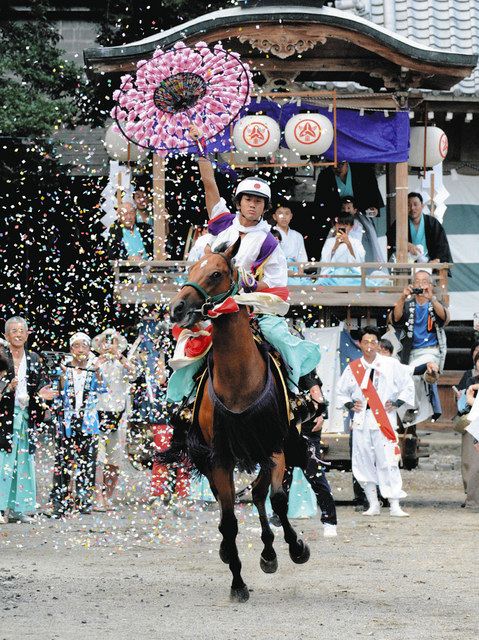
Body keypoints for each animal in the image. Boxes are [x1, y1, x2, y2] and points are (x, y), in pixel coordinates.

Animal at [170, 241, 312, 604]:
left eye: (216, 273)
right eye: (191, 268)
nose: (178, 308)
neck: (238, 381)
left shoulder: (273, 445)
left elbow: (278, 499)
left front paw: (296, 548)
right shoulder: (219, 457)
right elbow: (229, 520)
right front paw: (237, 583)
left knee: (261, 494)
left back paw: (271, 553)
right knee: (230, 505)